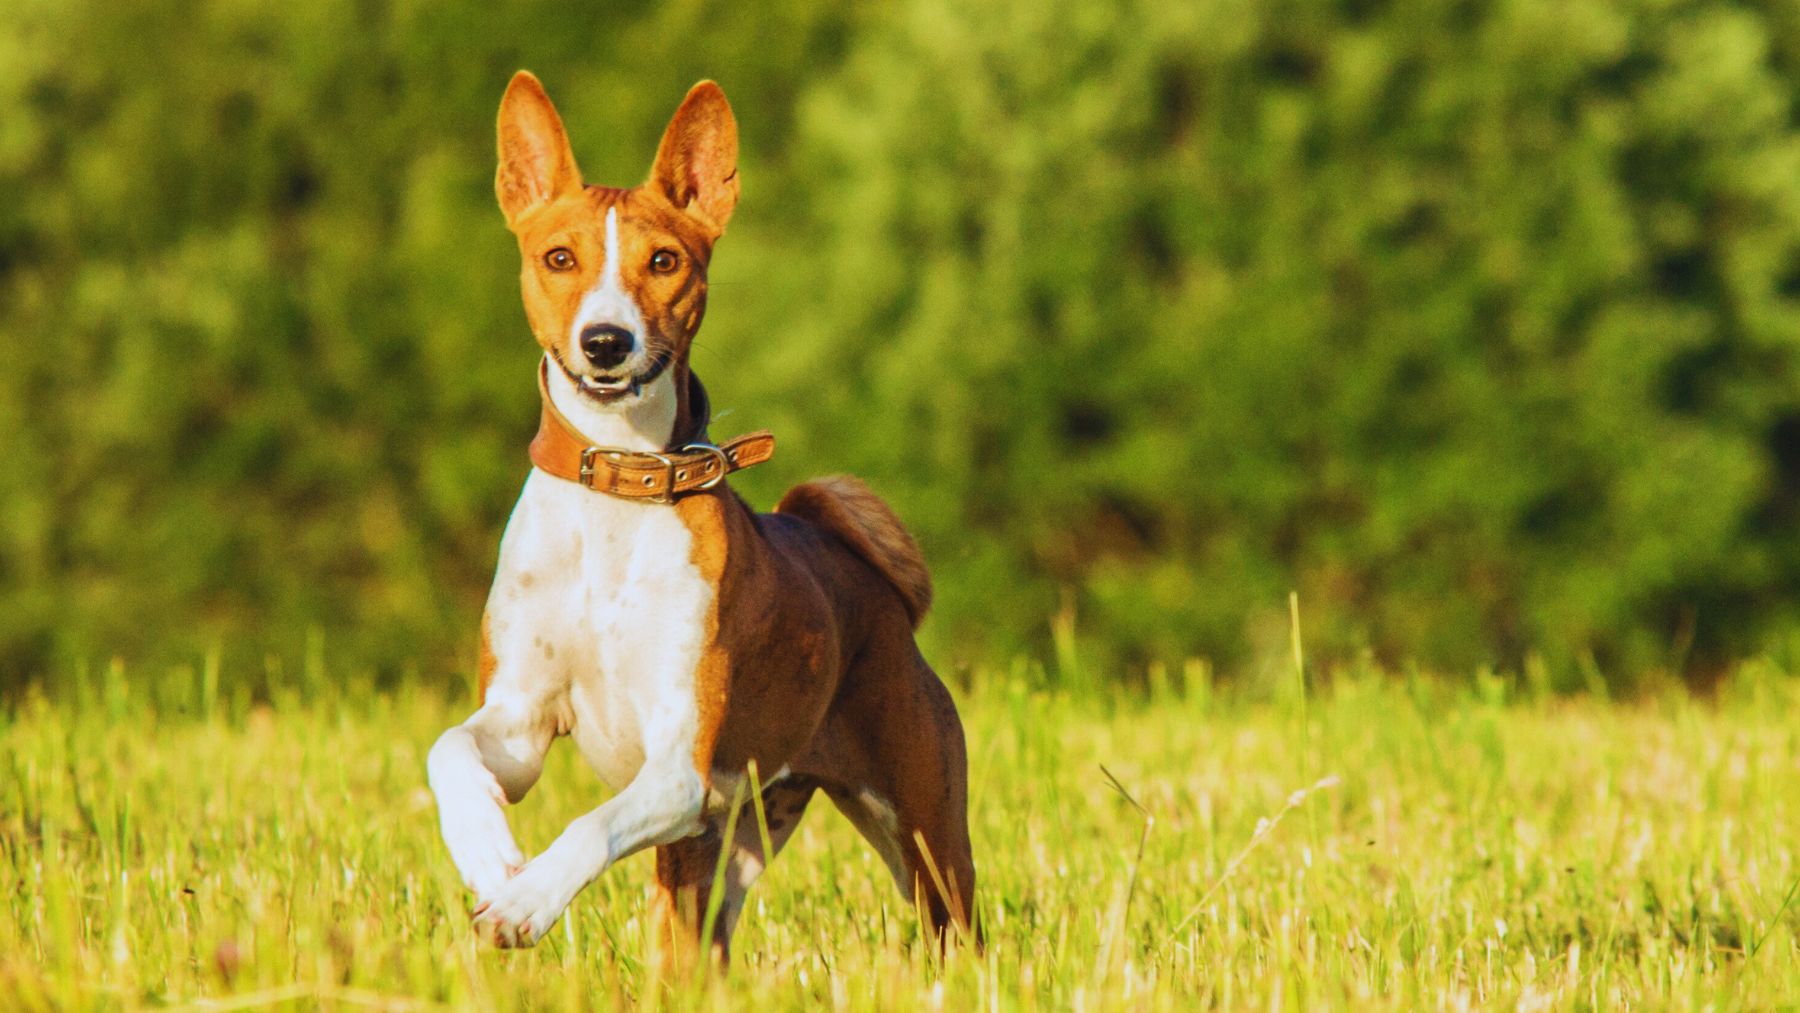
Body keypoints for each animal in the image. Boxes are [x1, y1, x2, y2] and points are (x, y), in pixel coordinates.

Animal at [426, 71, 979, 957]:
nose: (606, 340)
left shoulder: (679, 766)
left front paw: (527, 899)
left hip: (922, 837)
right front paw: (487, 854)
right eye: (558, 258)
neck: (617, 492)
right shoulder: (519, 720)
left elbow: (587, 825)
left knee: (958, 928)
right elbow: (448, 750)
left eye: (664, 261)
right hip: (723, 852)